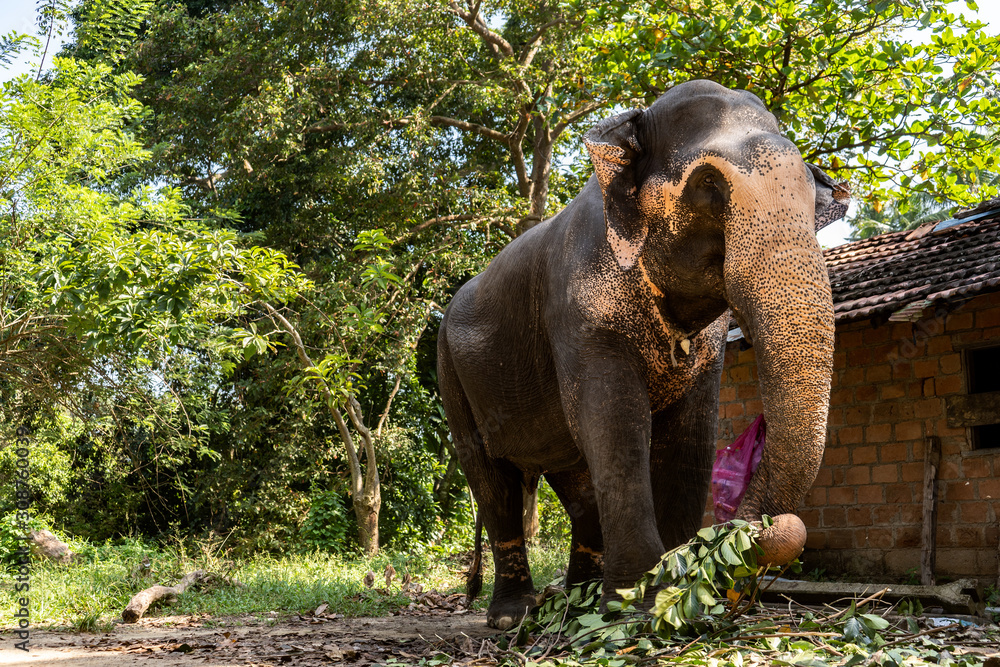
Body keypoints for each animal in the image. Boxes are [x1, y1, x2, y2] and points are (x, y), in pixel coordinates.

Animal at [437, 79, 845, 630]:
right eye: (709, 186)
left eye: (809, 188)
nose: (760, 529)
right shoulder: (579, 309)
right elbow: (613, 419)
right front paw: (635, 607)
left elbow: (691, 433)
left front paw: (681, 594)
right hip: (451, 375)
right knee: (492, 482)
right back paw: (512, 617)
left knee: (577, 484)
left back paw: (577, 604)